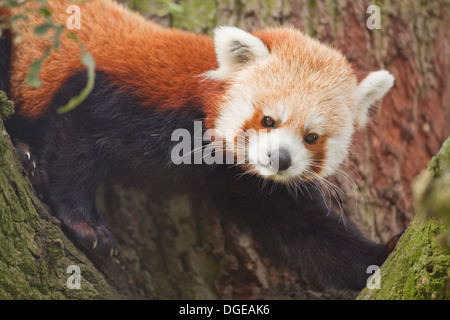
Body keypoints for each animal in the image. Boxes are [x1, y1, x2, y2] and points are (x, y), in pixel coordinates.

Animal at [2, 0, 398, 290]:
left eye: (311, 137)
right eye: (269, 120)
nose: (280, 159)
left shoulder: (249, 181)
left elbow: (310, 231)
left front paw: (381, 254)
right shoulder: (120, 97)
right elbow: (74, 145)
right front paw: (85, 225)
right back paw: (22, 149)